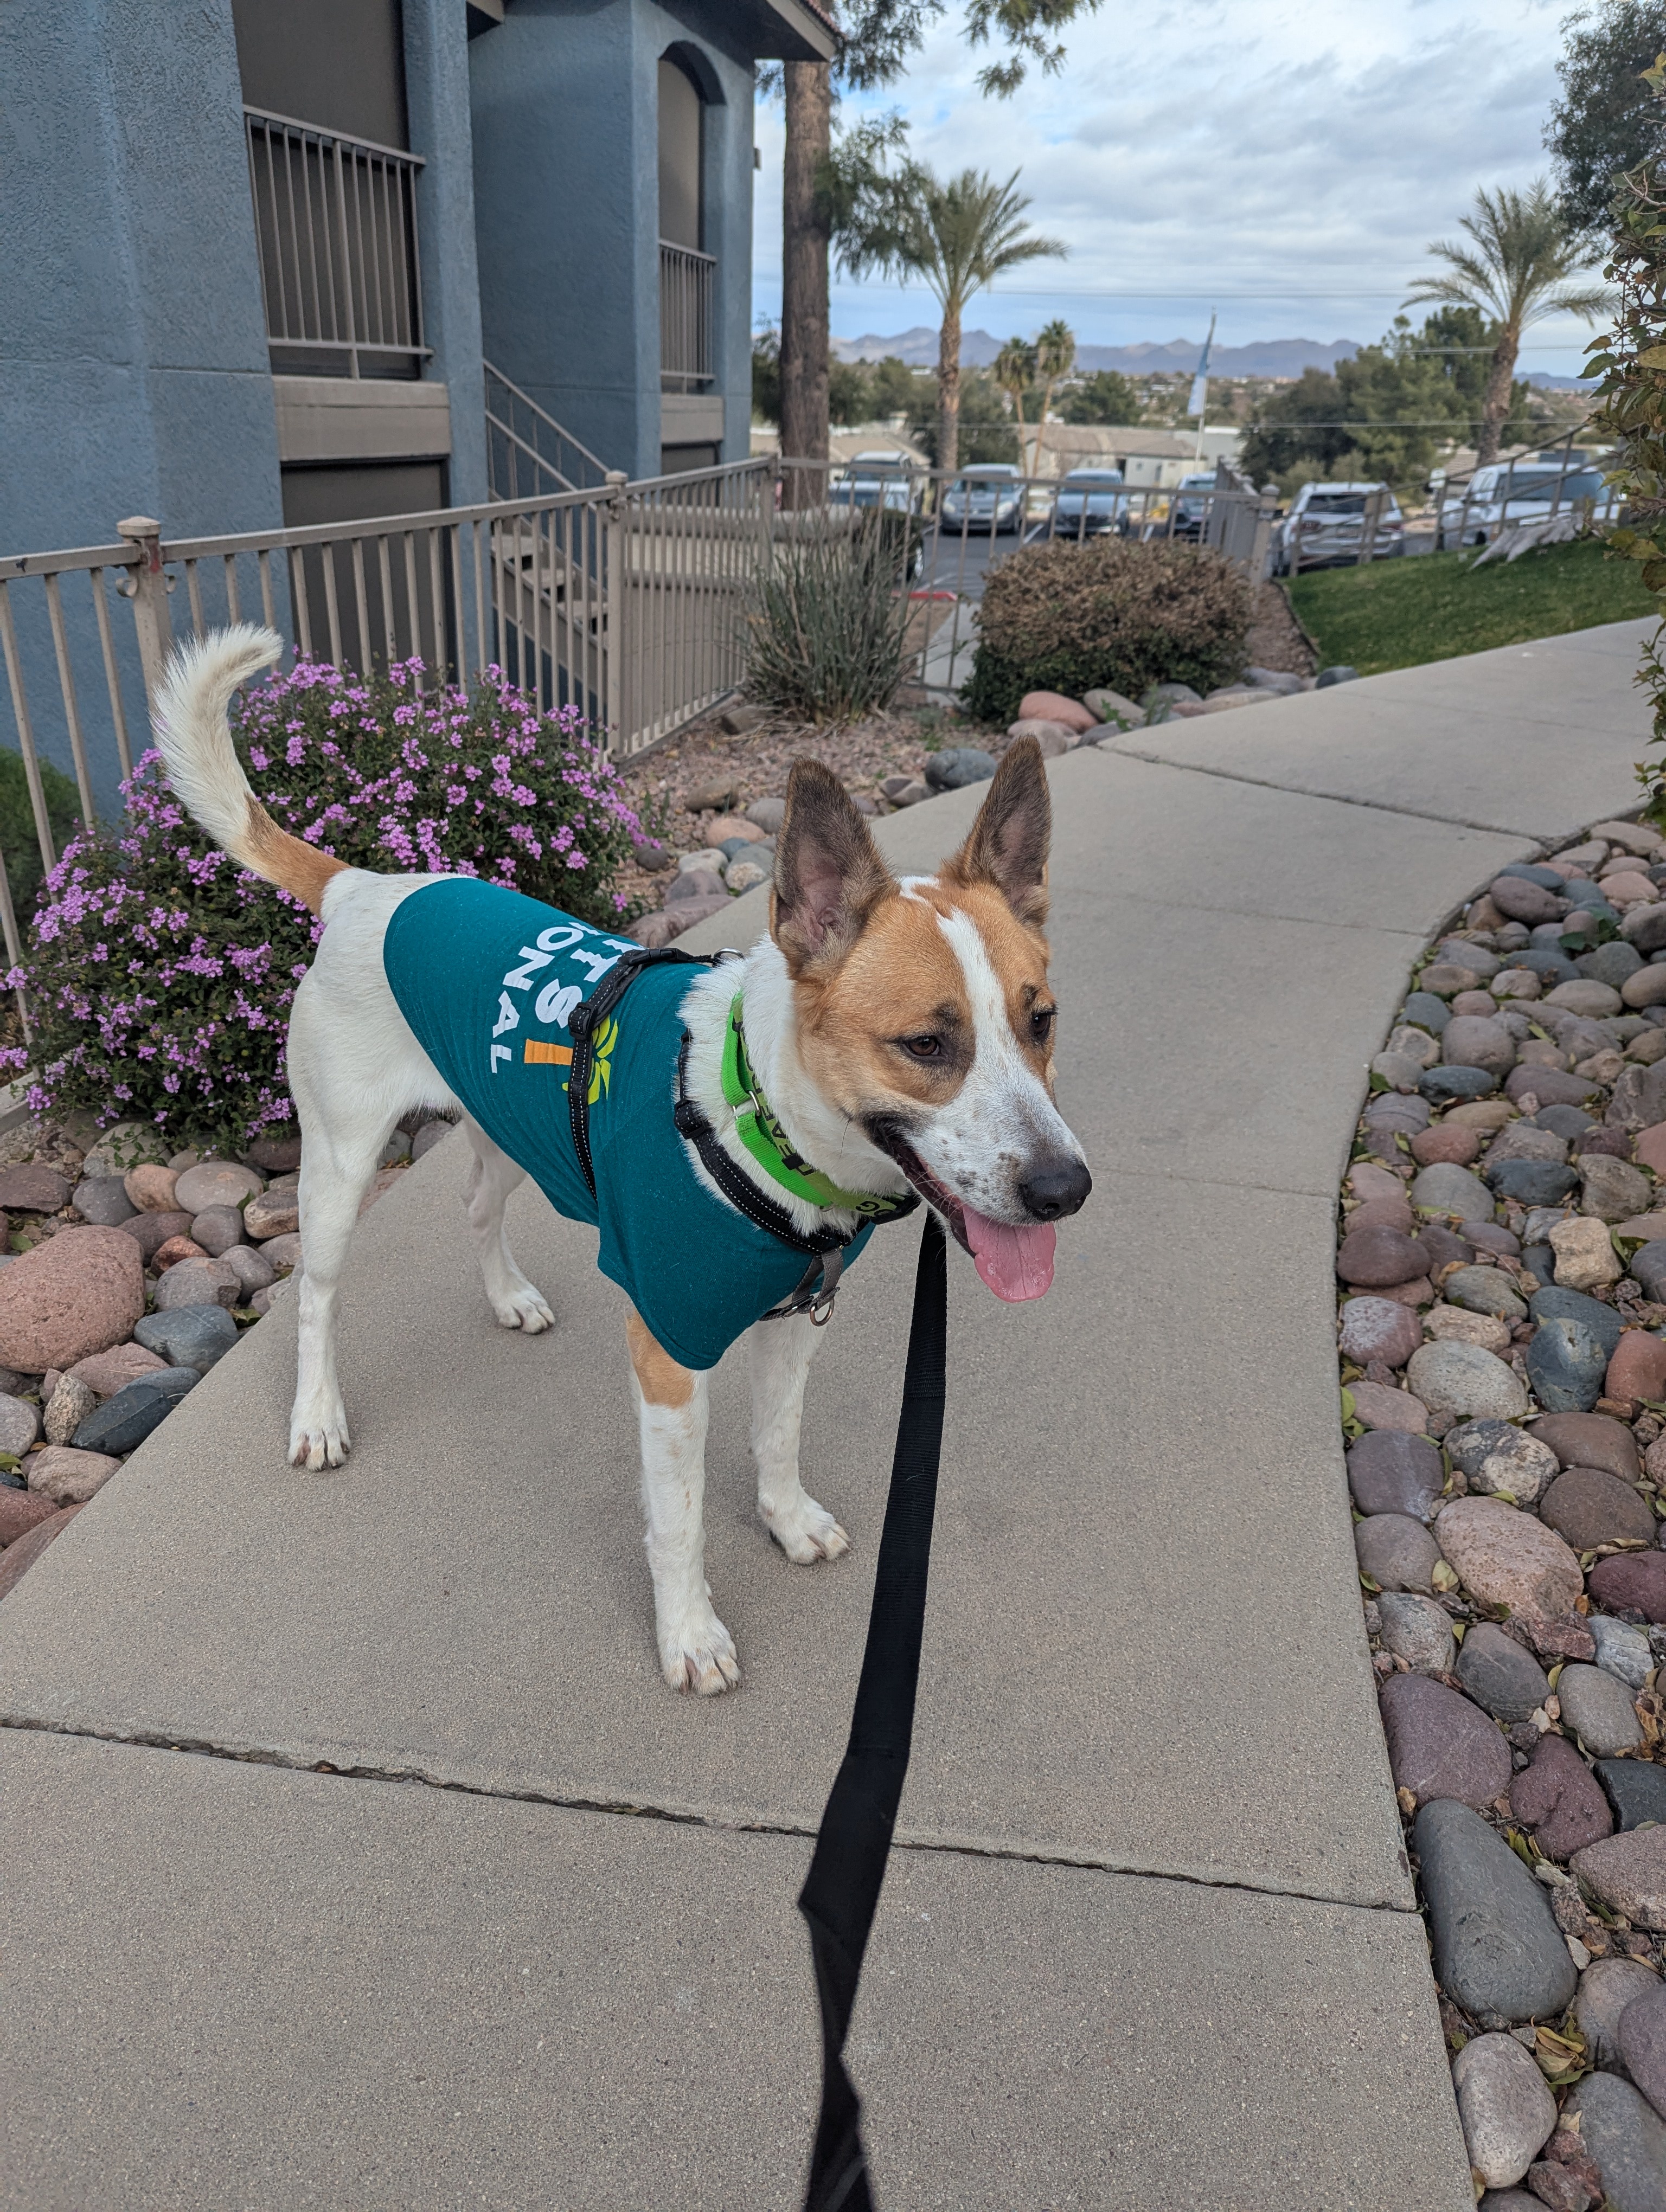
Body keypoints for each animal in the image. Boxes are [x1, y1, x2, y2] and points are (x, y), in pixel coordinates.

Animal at [152, 623, 1093, 1690]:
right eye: (926, 1045)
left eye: (1041, 1021)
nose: (1065, 1190)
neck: (759, 1120)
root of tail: (365, 889)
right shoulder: (671, 1356)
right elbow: (677, 1520)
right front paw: (688, 1633)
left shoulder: (796, 1322)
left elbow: (778, 1440)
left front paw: (786, 1520)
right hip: (340, 1167)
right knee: (315, 1295)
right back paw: (317, 1415)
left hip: (505, 1125)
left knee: (477, 1208)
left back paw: (509, 1297)